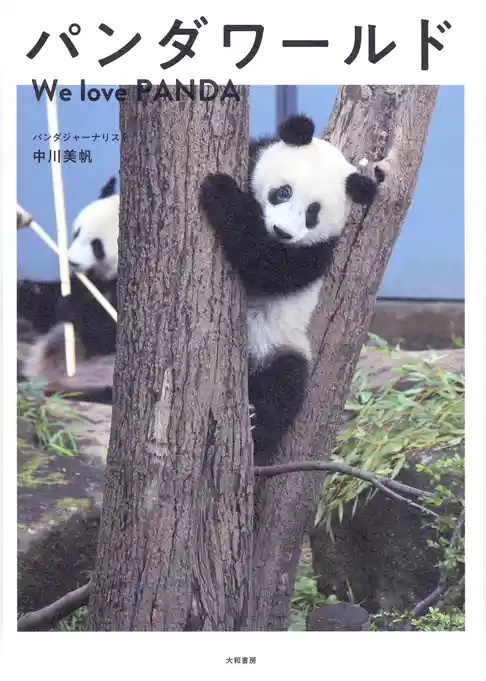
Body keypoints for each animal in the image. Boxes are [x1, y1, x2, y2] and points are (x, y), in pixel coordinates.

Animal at [199, 114, 380, 462]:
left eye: (312, 214)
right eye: (283, 192)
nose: (282, 231)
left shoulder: (317, 252)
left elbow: (266, 264)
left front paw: (220, 190)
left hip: (281, 345)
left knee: (284, 386)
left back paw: (257, 427)